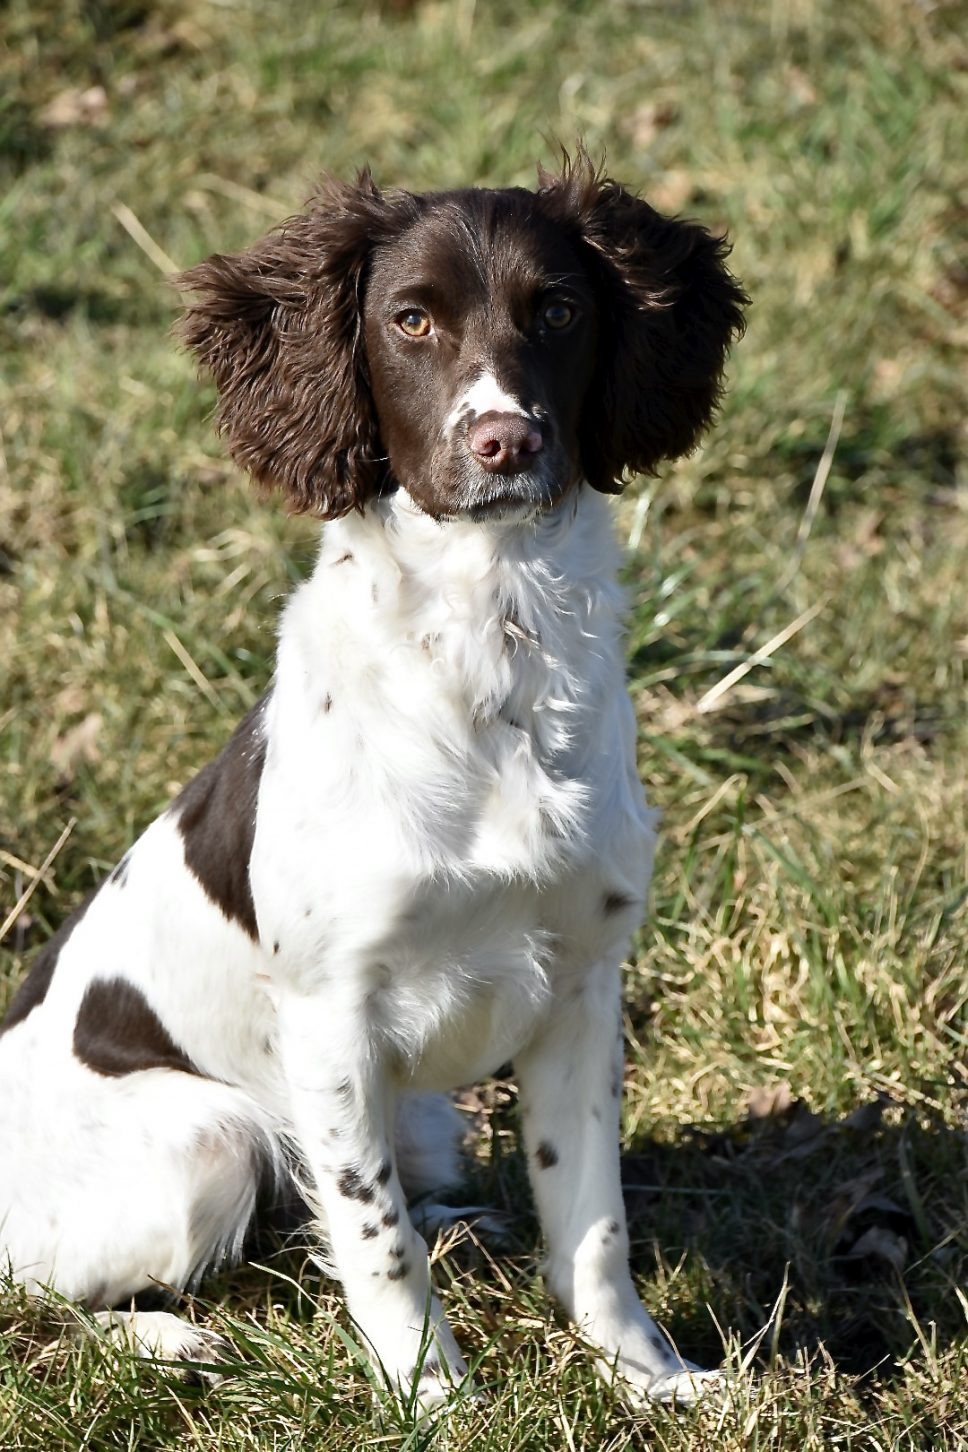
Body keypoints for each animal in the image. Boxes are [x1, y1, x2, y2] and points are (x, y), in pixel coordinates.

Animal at [0, 150, 748, 1405]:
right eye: (410, 320)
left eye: (557, 310)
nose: (503, 442)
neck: (486, 650)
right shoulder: (330, 1020)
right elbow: (374, 1236)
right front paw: (433, 1400)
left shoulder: (583, 984)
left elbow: (591, 1221)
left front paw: (644, 1373)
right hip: (206, 1140)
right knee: (45, 1294)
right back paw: (169, 1340)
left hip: (424, 1115)